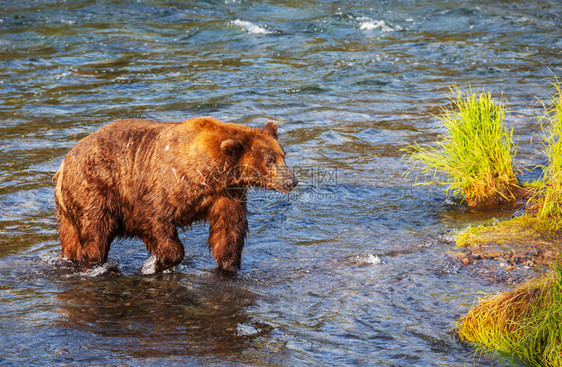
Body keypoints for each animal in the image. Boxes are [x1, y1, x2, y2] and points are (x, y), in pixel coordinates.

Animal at [53, 116, 298, 274]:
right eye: (269, 160)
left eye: (282, 154)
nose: (291, 181)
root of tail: (64, 164)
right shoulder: (169, 184)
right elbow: (154, 218)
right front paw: (155, 264)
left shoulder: (226, 194)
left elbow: (229, 229)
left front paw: (230, 266)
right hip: (96, 188)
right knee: (96, 229)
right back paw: (98, 265)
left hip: (69, 210)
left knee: (71, 239)